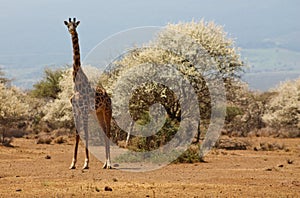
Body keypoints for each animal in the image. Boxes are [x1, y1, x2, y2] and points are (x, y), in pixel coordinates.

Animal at [64, 17, 112, 170]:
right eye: (68, 25)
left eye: (75, 25)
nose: (72, 31)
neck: (77, 83)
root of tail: (109, 96)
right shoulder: (75, 110)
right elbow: (77, 134)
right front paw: (73, 163)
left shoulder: (84, 110)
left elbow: (86, 133)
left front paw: (86, 163)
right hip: (98, 113)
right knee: (104, 132)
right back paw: (104, 163)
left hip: (107, 110)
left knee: (108, 132)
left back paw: (109, 163)